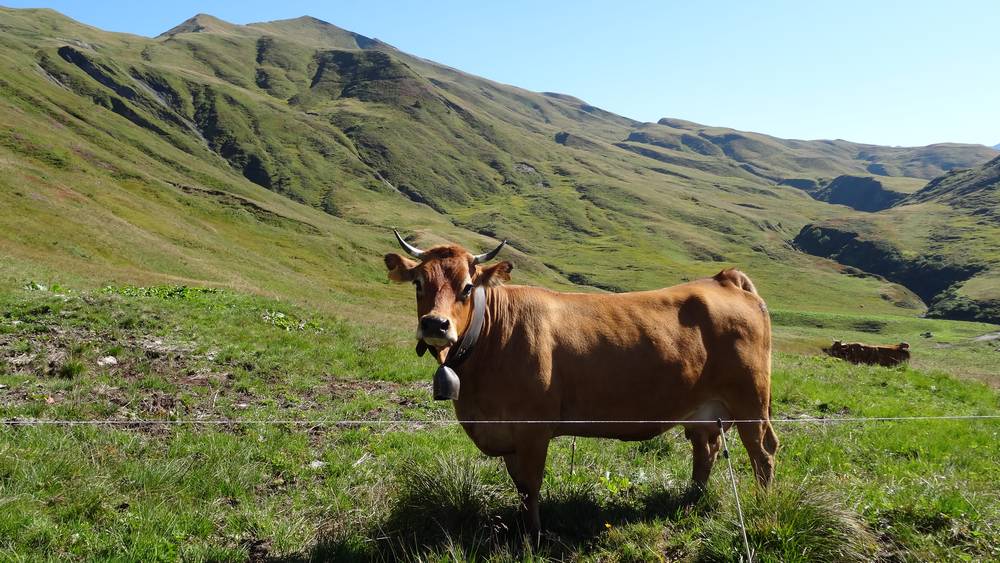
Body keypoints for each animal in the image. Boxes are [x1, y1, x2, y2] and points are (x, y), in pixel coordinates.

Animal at [384, 231, 780, 536]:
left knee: (762, 453)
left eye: (467, 288)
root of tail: (723, 278)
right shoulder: (507, 433)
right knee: (706, 449)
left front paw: (533, 535)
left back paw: (762, 506)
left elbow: (530, 486)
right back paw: (690, 499)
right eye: (419, 283)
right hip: (702, 410)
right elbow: (519, 486)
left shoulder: (532, 429)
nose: (435, 324)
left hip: (750, 401)